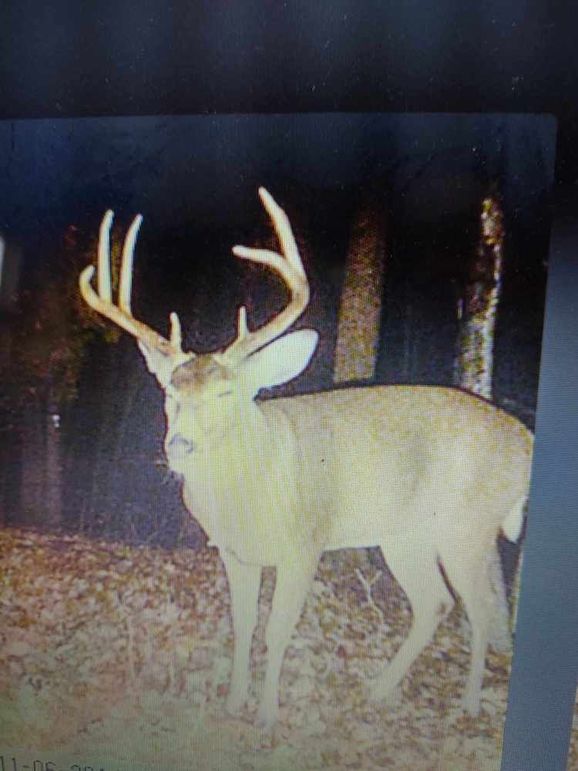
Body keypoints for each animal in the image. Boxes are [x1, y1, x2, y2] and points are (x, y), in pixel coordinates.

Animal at [79, 187, 533, 730]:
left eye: (226, 392)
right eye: (170, 391)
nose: (179, 445)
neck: (250, 488)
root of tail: (526, 440)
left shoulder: (305, 545)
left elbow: (277, 630)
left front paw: (266, 715)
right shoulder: (235, 553)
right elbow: (244, 625)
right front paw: (234, 702)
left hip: (466, 527)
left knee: (479, 607)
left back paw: (467, 703)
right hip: (405, 535)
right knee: (436, 604)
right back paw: (379, 689)